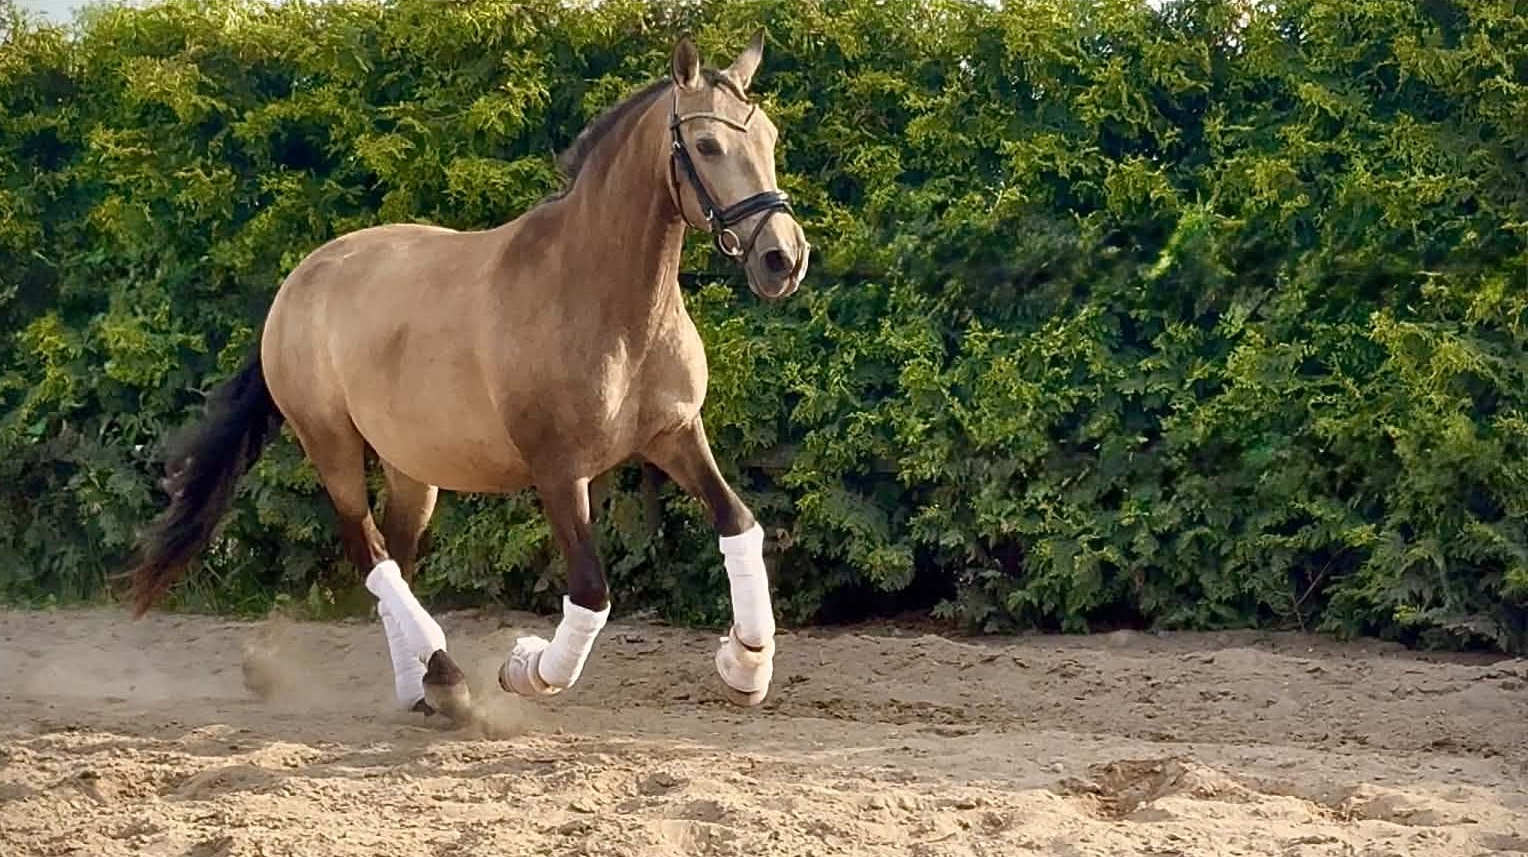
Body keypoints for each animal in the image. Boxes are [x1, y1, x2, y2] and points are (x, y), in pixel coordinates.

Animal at [124, 31, 810, 723]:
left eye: (771, 137)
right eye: (707, 145)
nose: (783, 258)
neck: (606, 304)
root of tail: (297, 282)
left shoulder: (675, 435)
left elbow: (739, 523)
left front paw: (745, 664)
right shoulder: (558, 471)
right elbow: (591, 594)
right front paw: (525, 669)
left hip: (411, 469)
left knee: (394, 560)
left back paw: (418, 687)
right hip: (331, 443)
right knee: (370, 552)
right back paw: (447, 679)